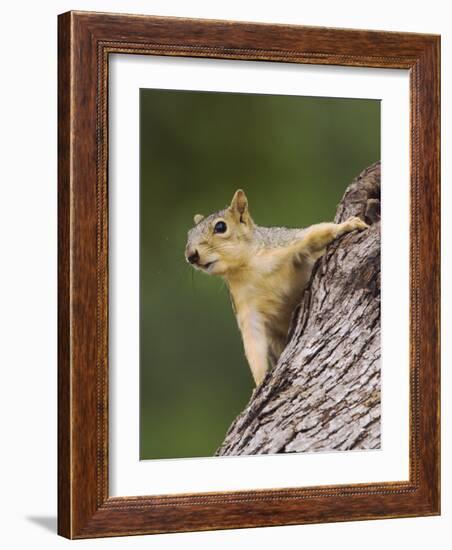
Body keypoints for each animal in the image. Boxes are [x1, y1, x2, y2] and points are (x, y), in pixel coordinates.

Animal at [185, 191, 370, 388]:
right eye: (189, 234)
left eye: (220, 227)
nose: (191, 256)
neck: (248, 267)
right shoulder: (245, 307)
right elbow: (253, 342)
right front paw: (259, 382)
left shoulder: (286, 244)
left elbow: (315, 233)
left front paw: (348, 225)